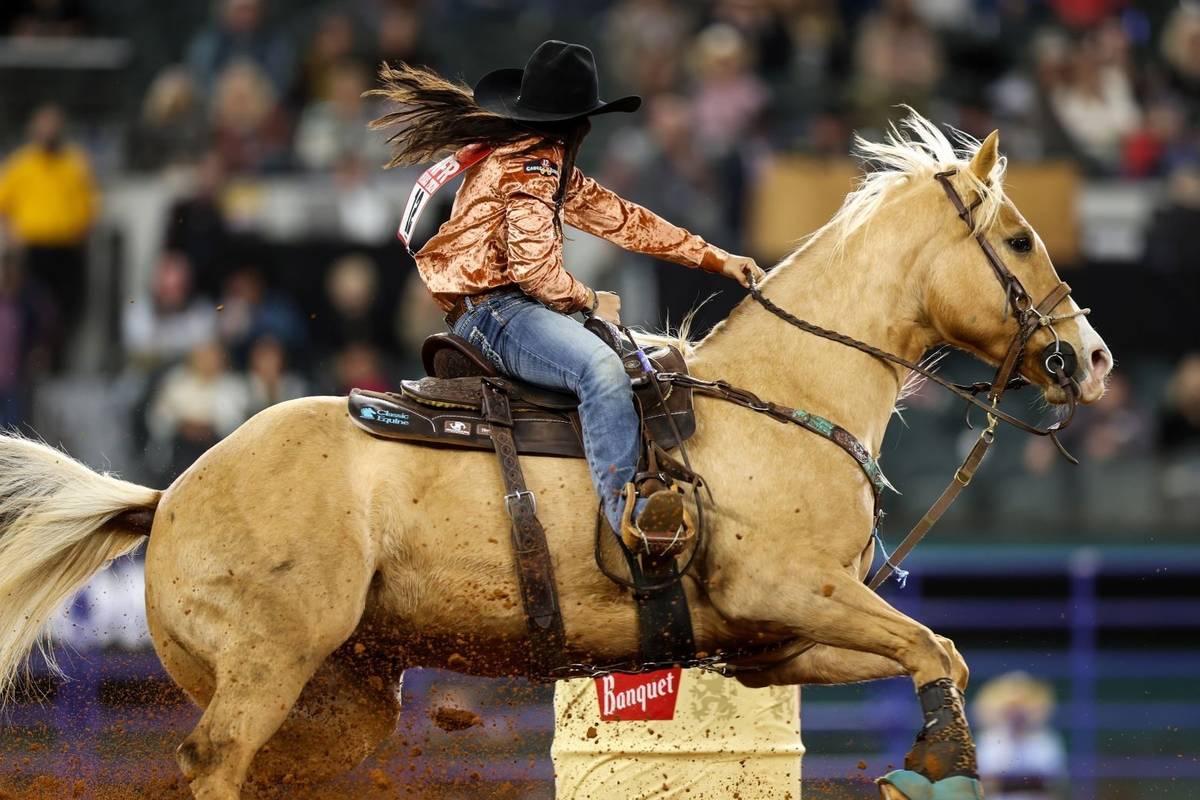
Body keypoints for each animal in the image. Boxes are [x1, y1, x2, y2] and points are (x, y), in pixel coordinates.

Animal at [0, 115, 1113, 796]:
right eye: (1020, 239)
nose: (1094, 357)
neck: (788, 396)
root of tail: (169, 494)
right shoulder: (789, 584)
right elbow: (938, 646)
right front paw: (943, 762)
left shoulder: (776, 640)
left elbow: (937, 651)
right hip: (267, 667)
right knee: (216, 761)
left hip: (338, 695)